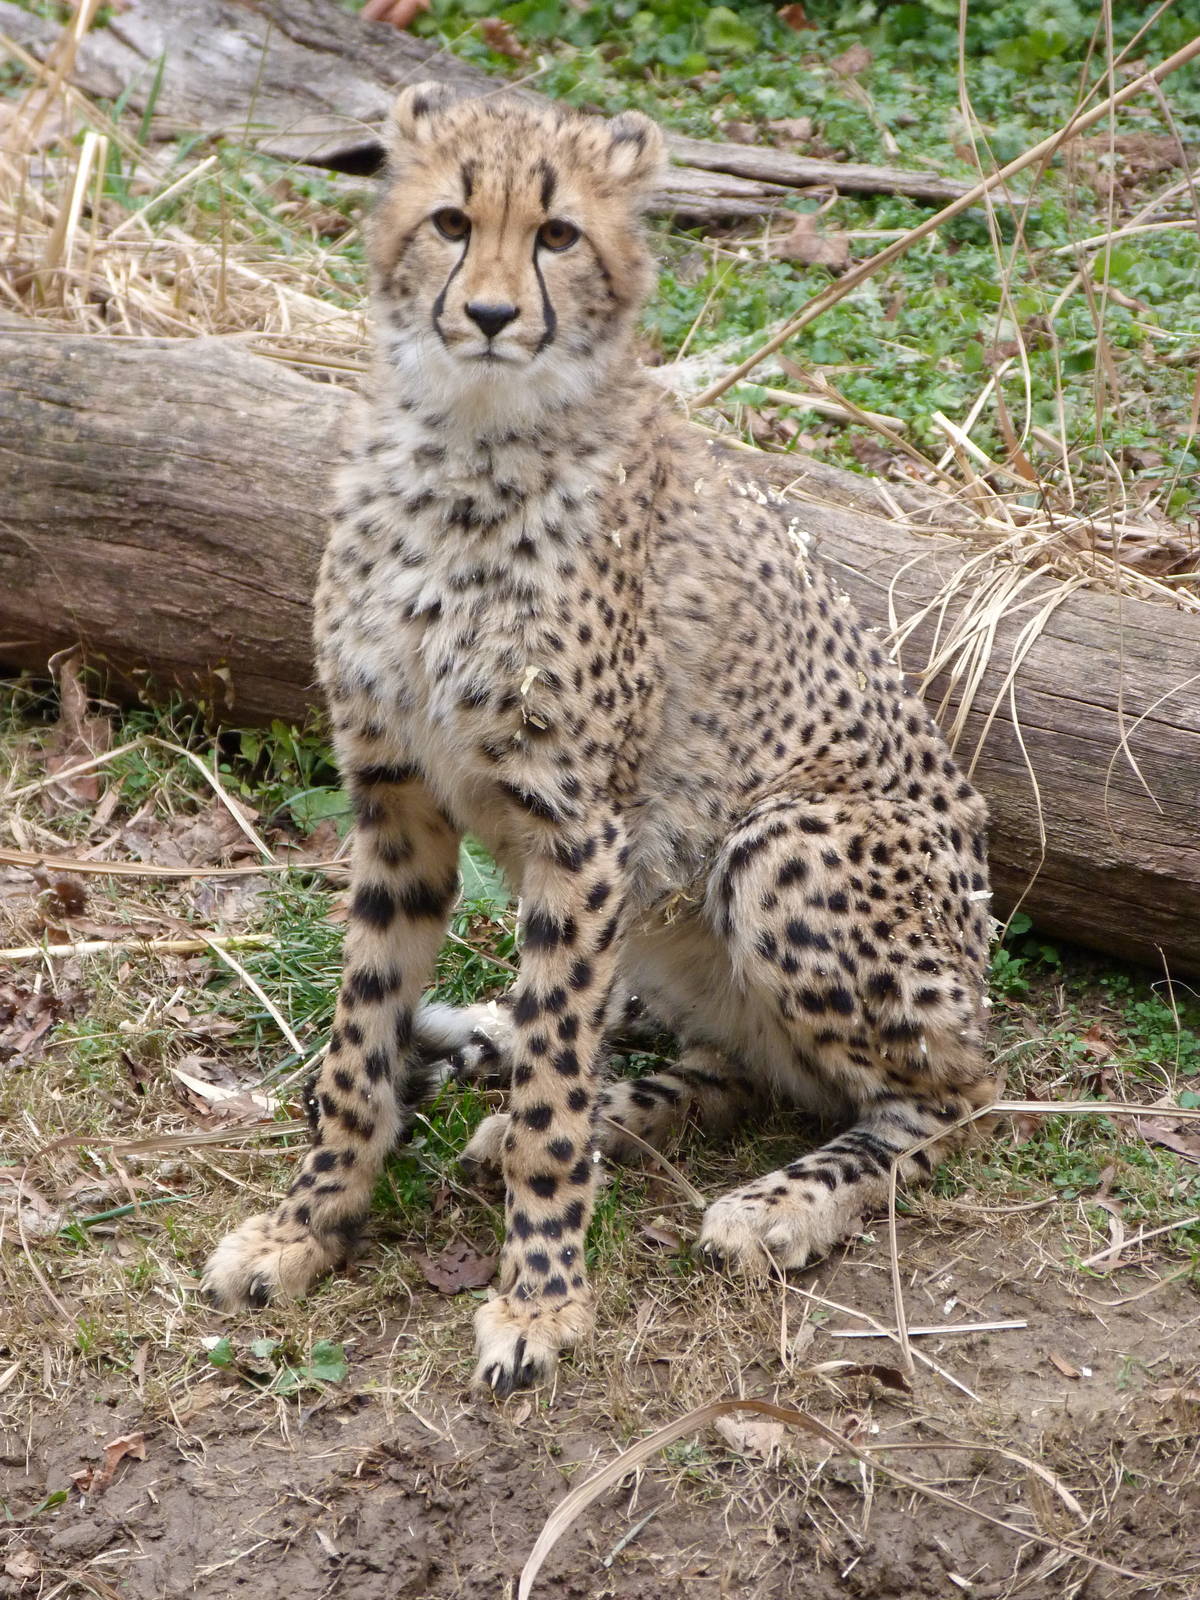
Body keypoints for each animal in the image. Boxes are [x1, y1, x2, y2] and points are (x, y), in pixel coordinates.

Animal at [203, 82, 999, 1397]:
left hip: (784, 847)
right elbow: (359, 1045)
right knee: (726, 1061)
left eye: (558, 235)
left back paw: (780, 1202)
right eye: (451, 219)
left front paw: (541, 1301)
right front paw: (305, 1226)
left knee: (950, 1092)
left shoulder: (579, 832)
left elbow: (552, 1099)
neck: (466, 445)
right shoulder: (394, 800)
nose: (487, 314)